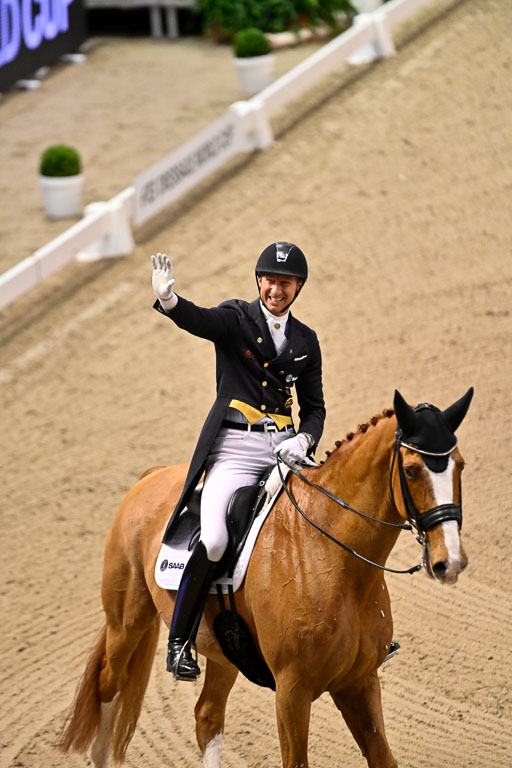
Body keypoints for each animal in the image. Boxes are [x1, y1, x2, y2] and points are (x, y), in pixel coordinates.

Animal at [59, 388, 473, 768]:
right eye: (411, 470)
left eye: (460, 466)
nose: (449, 562)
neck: (331, 556)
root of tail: (152, 477)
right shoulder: (292, 691)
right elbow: (296, 761)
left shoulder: (360, 681)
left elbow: (382, 757)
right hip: (127, 623)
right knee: (107, 687)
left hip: (223, 652)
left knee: (207, 715)